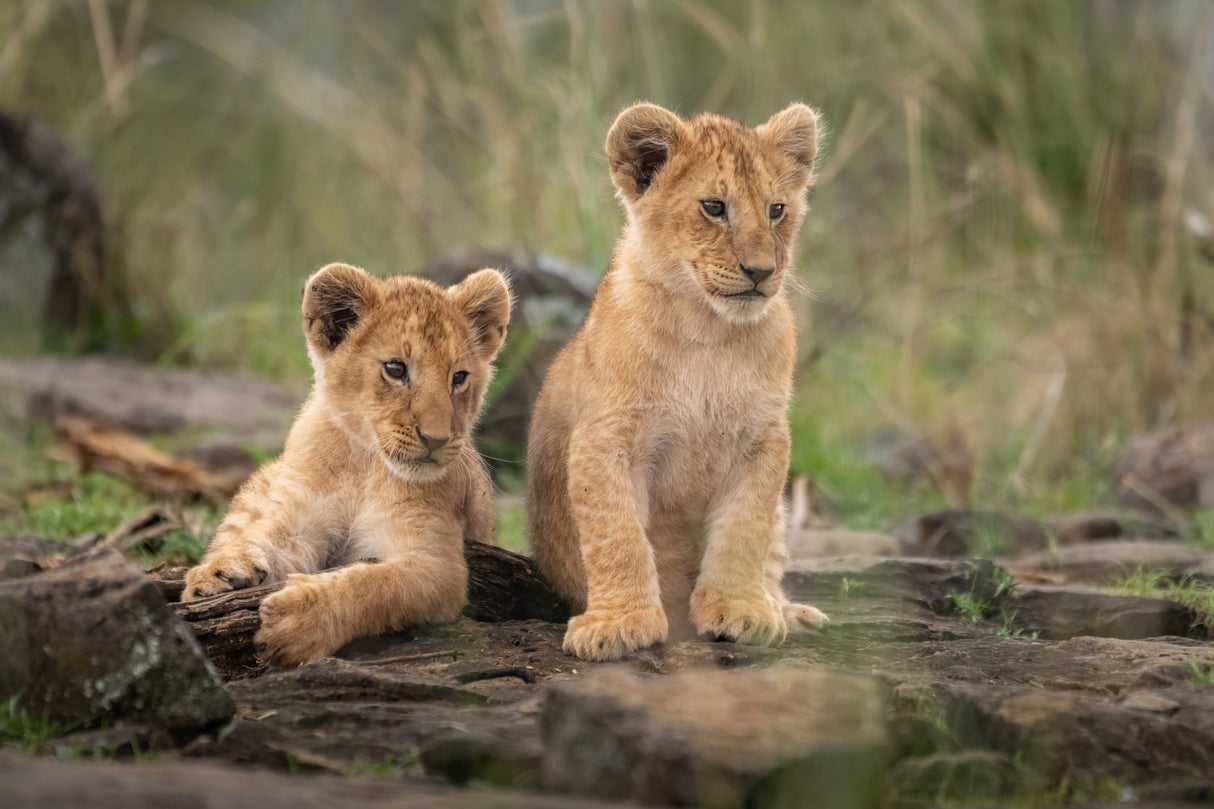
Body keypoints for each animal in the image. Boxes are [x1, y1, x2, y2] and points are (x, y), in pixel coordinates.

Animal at [183, 263, 511, 667]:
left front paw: (300, 622)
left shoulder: (440, 565)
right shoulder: (302, 525)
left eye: (459, 377)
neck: (363, 462)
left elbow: (376, 584)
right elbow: (274, 544)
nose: (436, 439)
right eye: (396, 368)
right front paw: (221, 572)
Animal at [526, 102, 829, 661]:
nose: (761, 271)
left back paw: (787, 611)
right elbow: (617, 535)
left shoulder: (764, 438)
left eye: (776, 210)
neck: (707, 330)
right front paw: (619, 623)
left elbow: (745, 529)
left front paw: (742, 611)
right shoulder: (606, 438)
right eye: (714, 206)